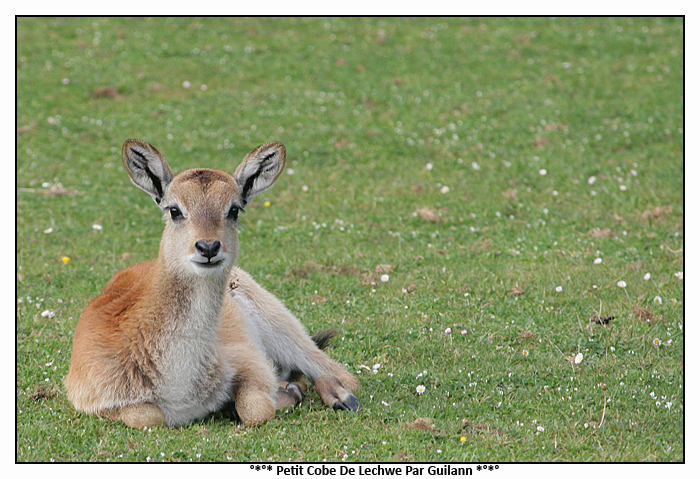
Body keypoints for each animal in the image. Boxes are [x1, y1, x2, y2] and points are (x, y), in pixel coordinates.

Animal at [64, 139, 360, 428]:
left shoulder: (251, 361)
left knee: (339, 373)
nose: (208, 247)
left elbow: (257, 409)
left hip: (280, 323)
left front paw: (281, 395)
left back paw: (341, 398)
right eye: (174, 210)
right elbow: (148, 416)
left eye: (234, 209)